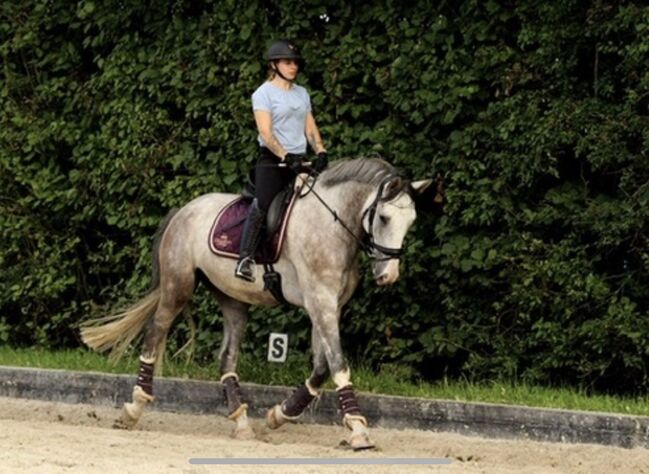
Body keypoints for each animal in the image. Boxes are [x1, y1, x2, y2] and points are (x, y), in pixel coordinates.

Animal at [79, 157, 436, 450]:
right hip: (177, 287)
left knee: (226, 357)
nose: (388, 275)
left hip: (233, 299)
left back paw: (241, 422)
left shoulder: (327, 306)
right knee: (155, 333)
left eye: (411, 221)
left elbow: (322, 367)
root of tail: (184, 210)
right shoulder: (320, 301)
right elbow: (337, 363)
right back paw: (134, 408)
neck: (333, 225)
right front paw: (359, 431)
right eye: (384, 218)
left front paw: (280, 414)